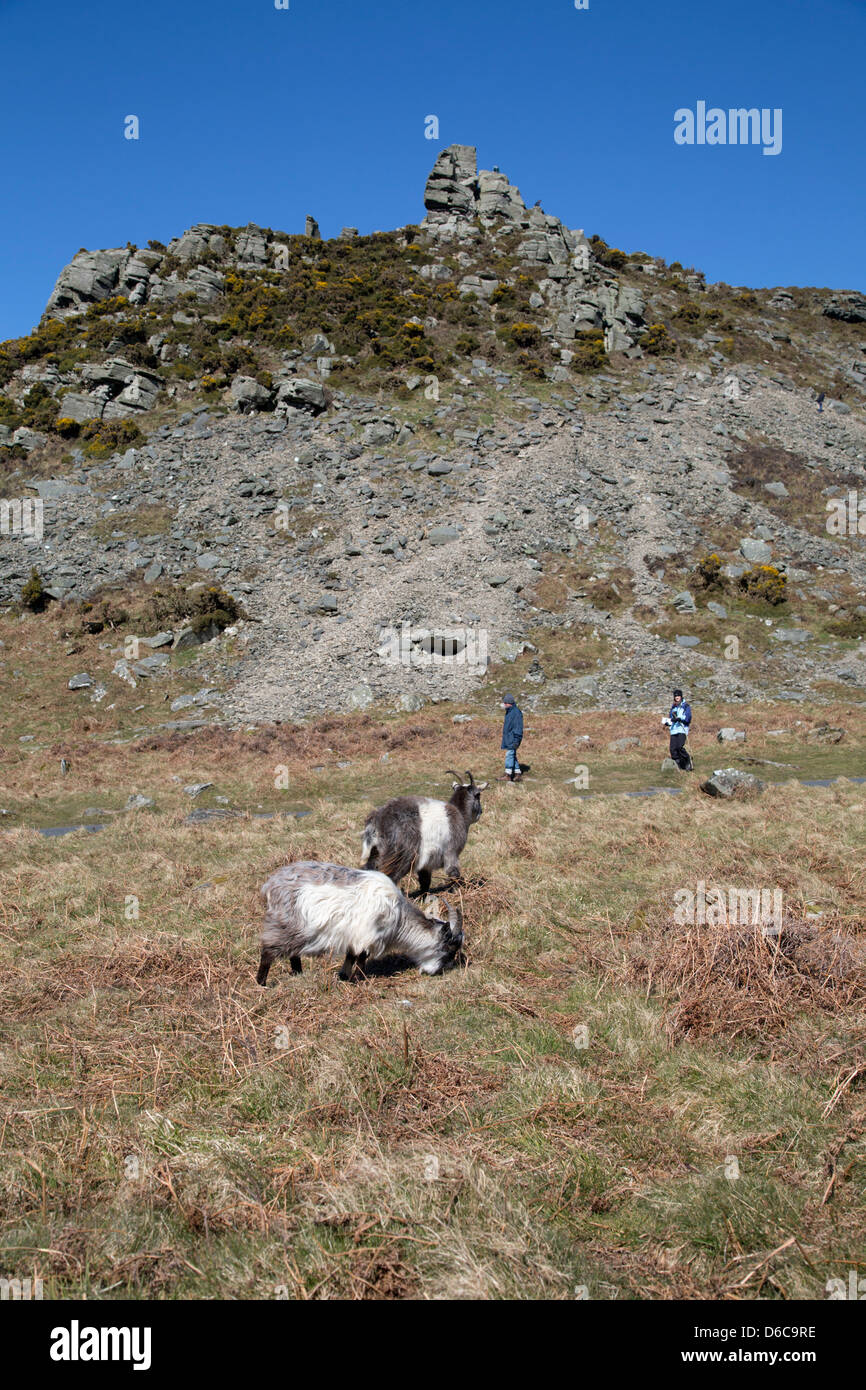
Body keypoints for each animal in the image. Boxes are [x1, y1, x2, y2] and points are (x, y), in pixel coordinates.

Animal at [255, 856, 464, 989]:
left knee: (293, 953)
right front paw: (360, 978)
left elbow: (351, 956)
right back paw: (262, 983)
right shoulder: (368, 935)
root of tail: (269, 885)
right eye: (449, 949)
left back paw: (298, 974)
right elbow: (361, 957)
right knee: (268, 951)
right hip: (285, 924)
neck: (398, 918)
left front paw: (344, 977)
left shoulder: (355, 936)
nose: (438, 972)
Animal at [358, 767, 489, 895]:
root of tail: (377, 820)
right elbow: (453, 873)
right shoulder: (451, 851)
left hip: (376, 853)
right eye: (478, 795)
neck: (460, 813)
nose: (481, 812)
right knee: (390, 876)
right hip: (400, 857)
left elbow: (425, 880)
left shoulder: (426, 862)